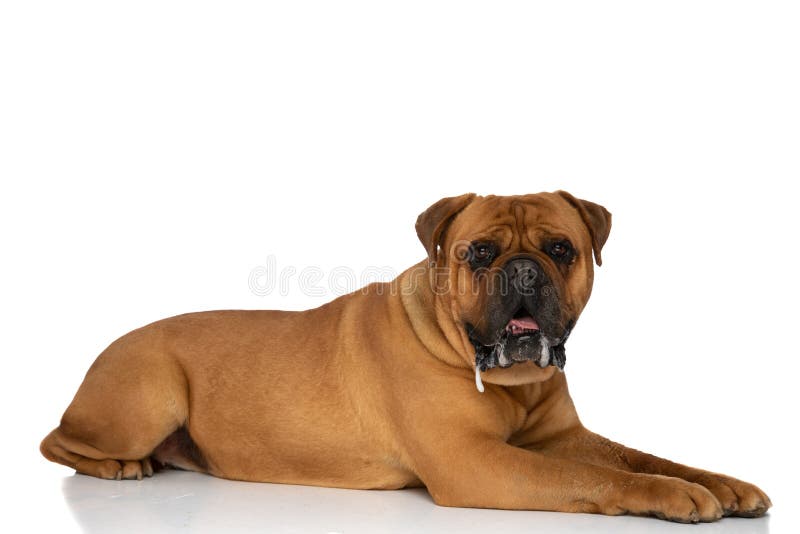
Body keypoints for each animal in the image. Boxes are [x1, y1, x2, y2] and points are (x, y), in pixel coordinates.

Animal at [40, 192, 772, 524]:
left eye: (561, 249)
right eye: (480, 252)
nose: (522, 270)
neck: (510, 381)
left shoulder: (562, 436)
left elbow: (639, 455)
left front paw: (721, 483)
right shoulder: (473, 463)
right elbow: (598, 477)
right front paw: (674, 495)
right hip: (150, 389)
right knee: (56, 442)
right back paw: (122, 466)